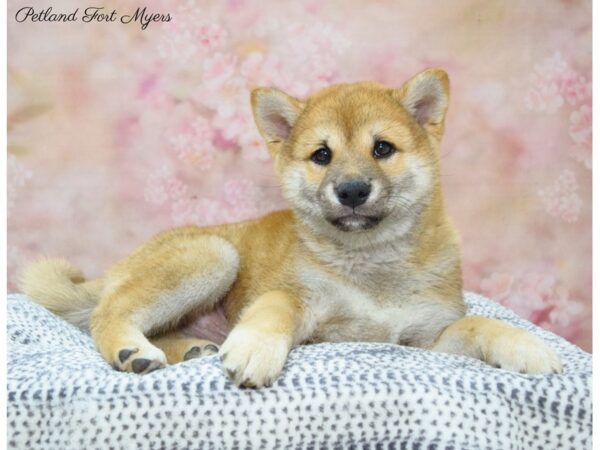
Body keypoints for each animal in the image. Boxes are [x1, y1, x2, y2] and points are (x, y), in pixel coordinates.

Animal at [19, 69, 564, 386]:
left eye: (382, 148)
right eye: (321, 155)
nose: (351, 190)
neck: (372, 264)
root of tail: (116, 270)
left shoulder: (426, 341)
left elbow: (477, 324)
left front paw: (524, 345)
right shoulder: (307, 314)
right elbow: (276, 307)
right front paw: (255, 347)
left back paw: (185, 348)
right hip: (214, 256)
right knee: (107, 314)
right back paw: (131, 349)